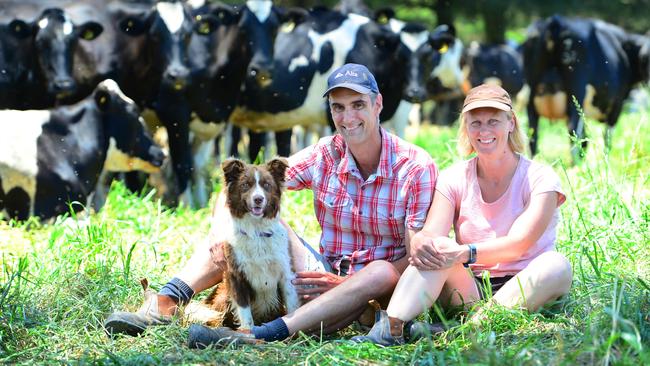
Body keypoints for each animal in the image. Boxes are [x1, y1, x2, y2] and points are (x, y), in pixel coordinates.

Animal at [201, 159, 300, 330]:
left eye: (266, 185)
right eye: (245, 185)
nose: (258, 199)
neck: (256, 232)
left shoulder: (286, 273)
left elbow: (292, 306)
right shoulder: (237, 276)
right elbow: (245, 313)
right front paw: (248, 332)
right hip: (223, 296)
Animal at [520, 15, 648, 157]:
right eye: (645, 58)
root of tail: (556, 21)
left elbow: (586, 140)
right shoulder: (617, 104)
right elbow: (607, 139)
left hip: (531, 95)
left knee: (532, 134)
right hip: (577, 91)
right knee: (573, 132)